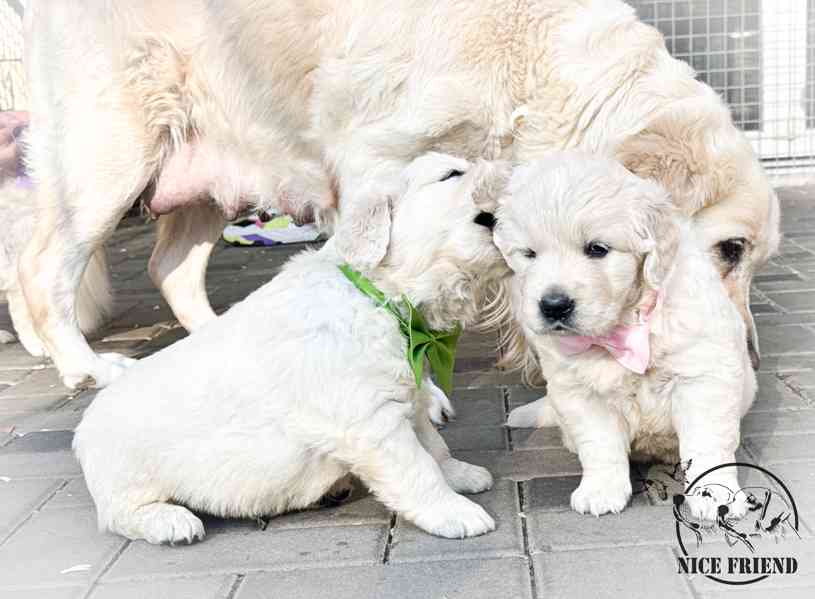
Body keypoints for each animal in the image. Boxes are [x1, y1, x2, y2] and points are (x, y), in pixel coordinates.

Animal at [75, 152, 510, 548]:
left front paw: (461, 474)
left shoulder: (408, 398)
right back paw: (170, 521)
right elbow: (418, 467)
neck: (376, 296)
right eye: (451, 174)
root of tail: (82, 433)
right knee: (119, 514)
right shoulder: (371, 419)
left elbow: (433, 445)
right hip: (127, 475)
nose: (507, 168)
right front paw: (453, 512)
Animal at [498, 155, 760, 520]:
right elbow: (600, 445)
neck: (624, 325)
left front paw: (715, 494)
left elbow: (708, 443)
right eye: (529, 254)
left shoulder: (702, 378)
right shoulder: (580, 393)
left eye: (597, 249)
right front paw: (601, 491)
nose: (553, 306)